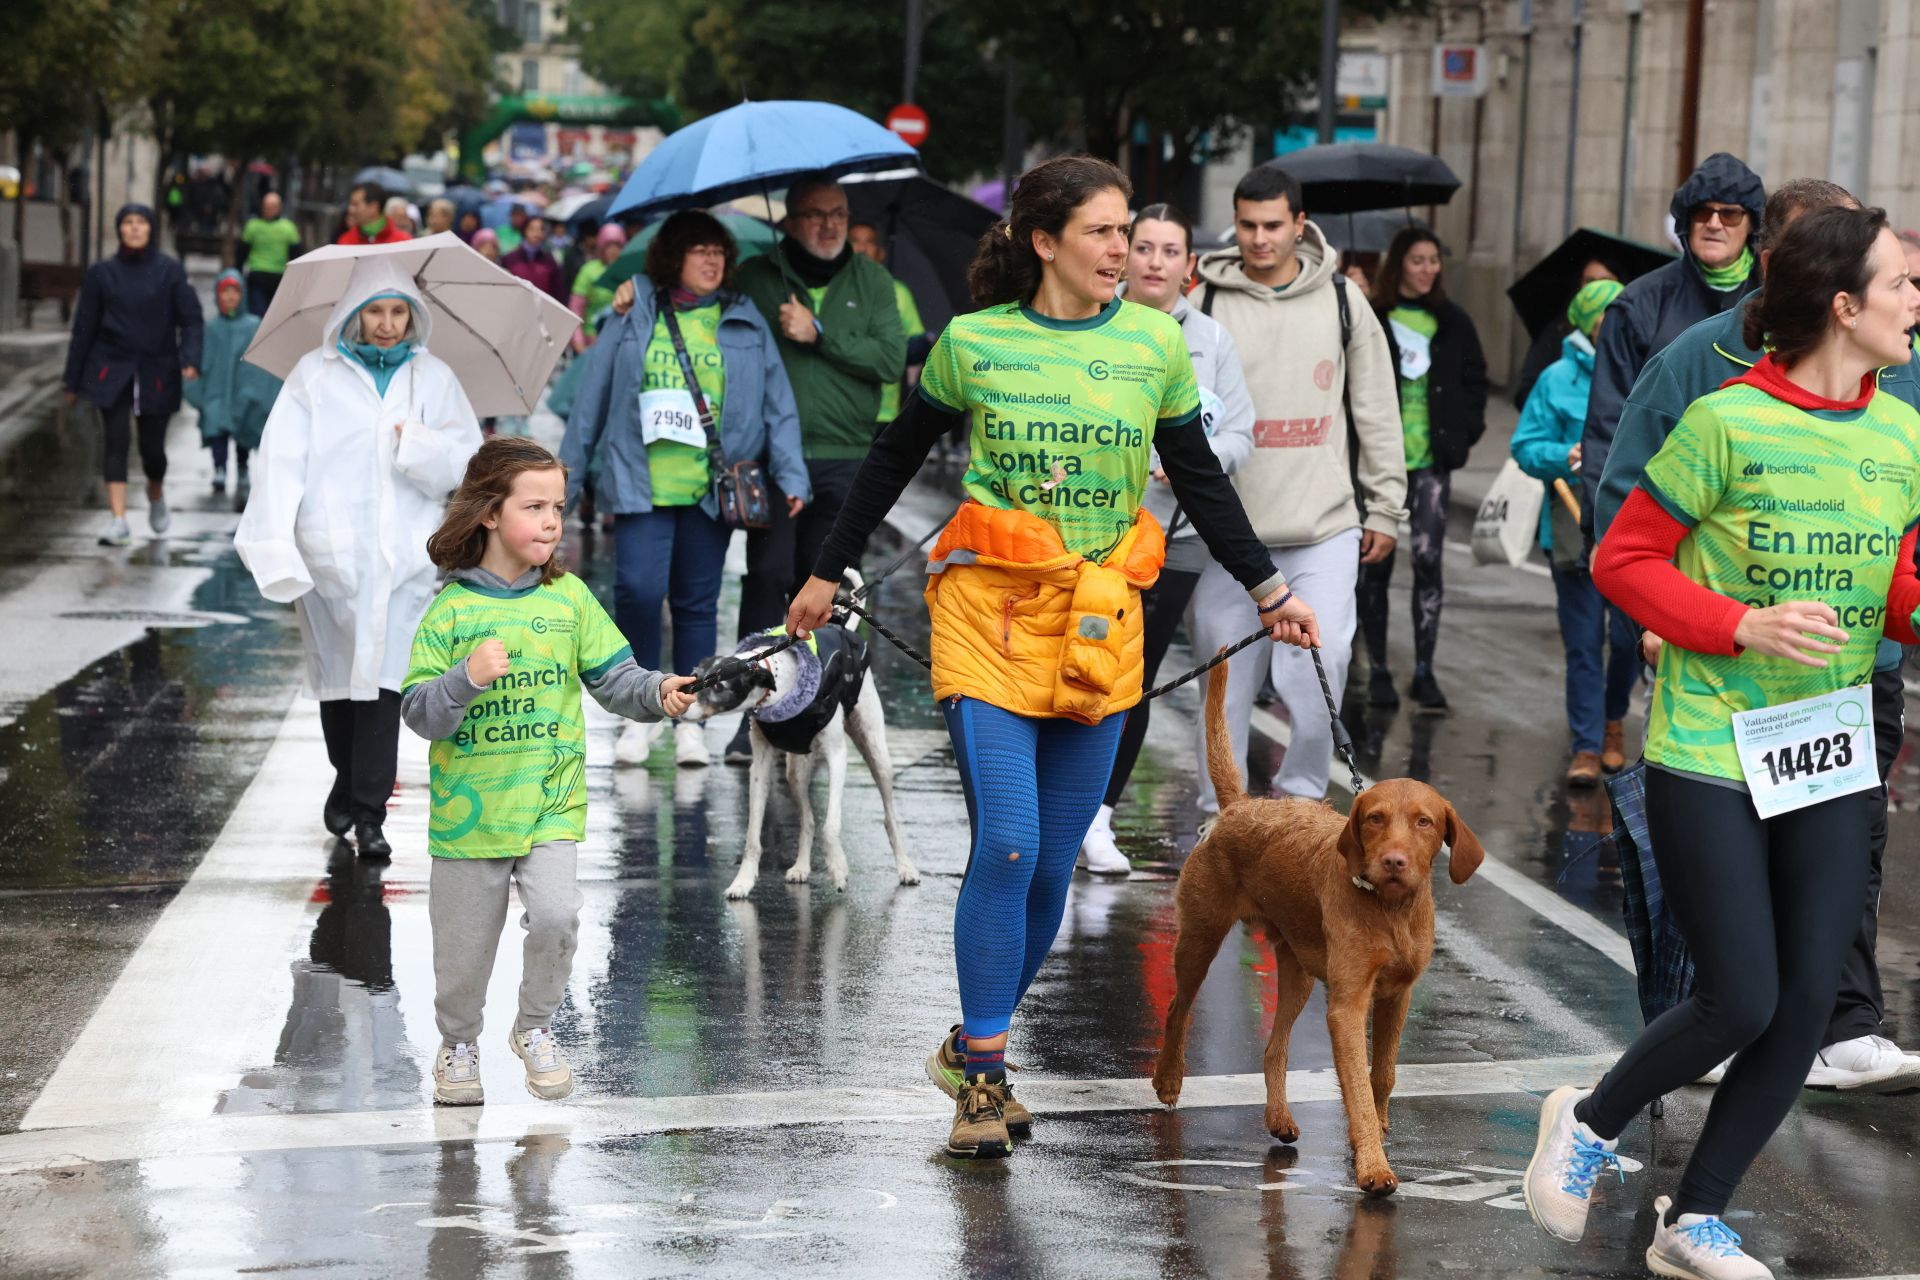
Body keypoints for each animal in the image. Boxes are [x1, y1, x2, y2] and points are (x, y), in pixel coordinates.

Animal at [1144, 667, 1489, 1197]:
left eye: (1424, 822)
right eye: (1375, 818)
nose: (1394, 861)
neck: (1389, 909)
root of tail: (1240, 806)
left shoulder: (1397, 995)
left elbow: (1383, 1074)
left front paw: (1376, 1133)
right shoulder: (1347, 1005)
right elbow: (1358, 1087)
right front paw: (1373, 1165)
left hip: (1299, 972)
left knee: (1273, 1047)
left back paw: (1279, 1116)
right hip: (1200, 938)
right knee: (1178, 1008)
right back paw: (1168, 1079)